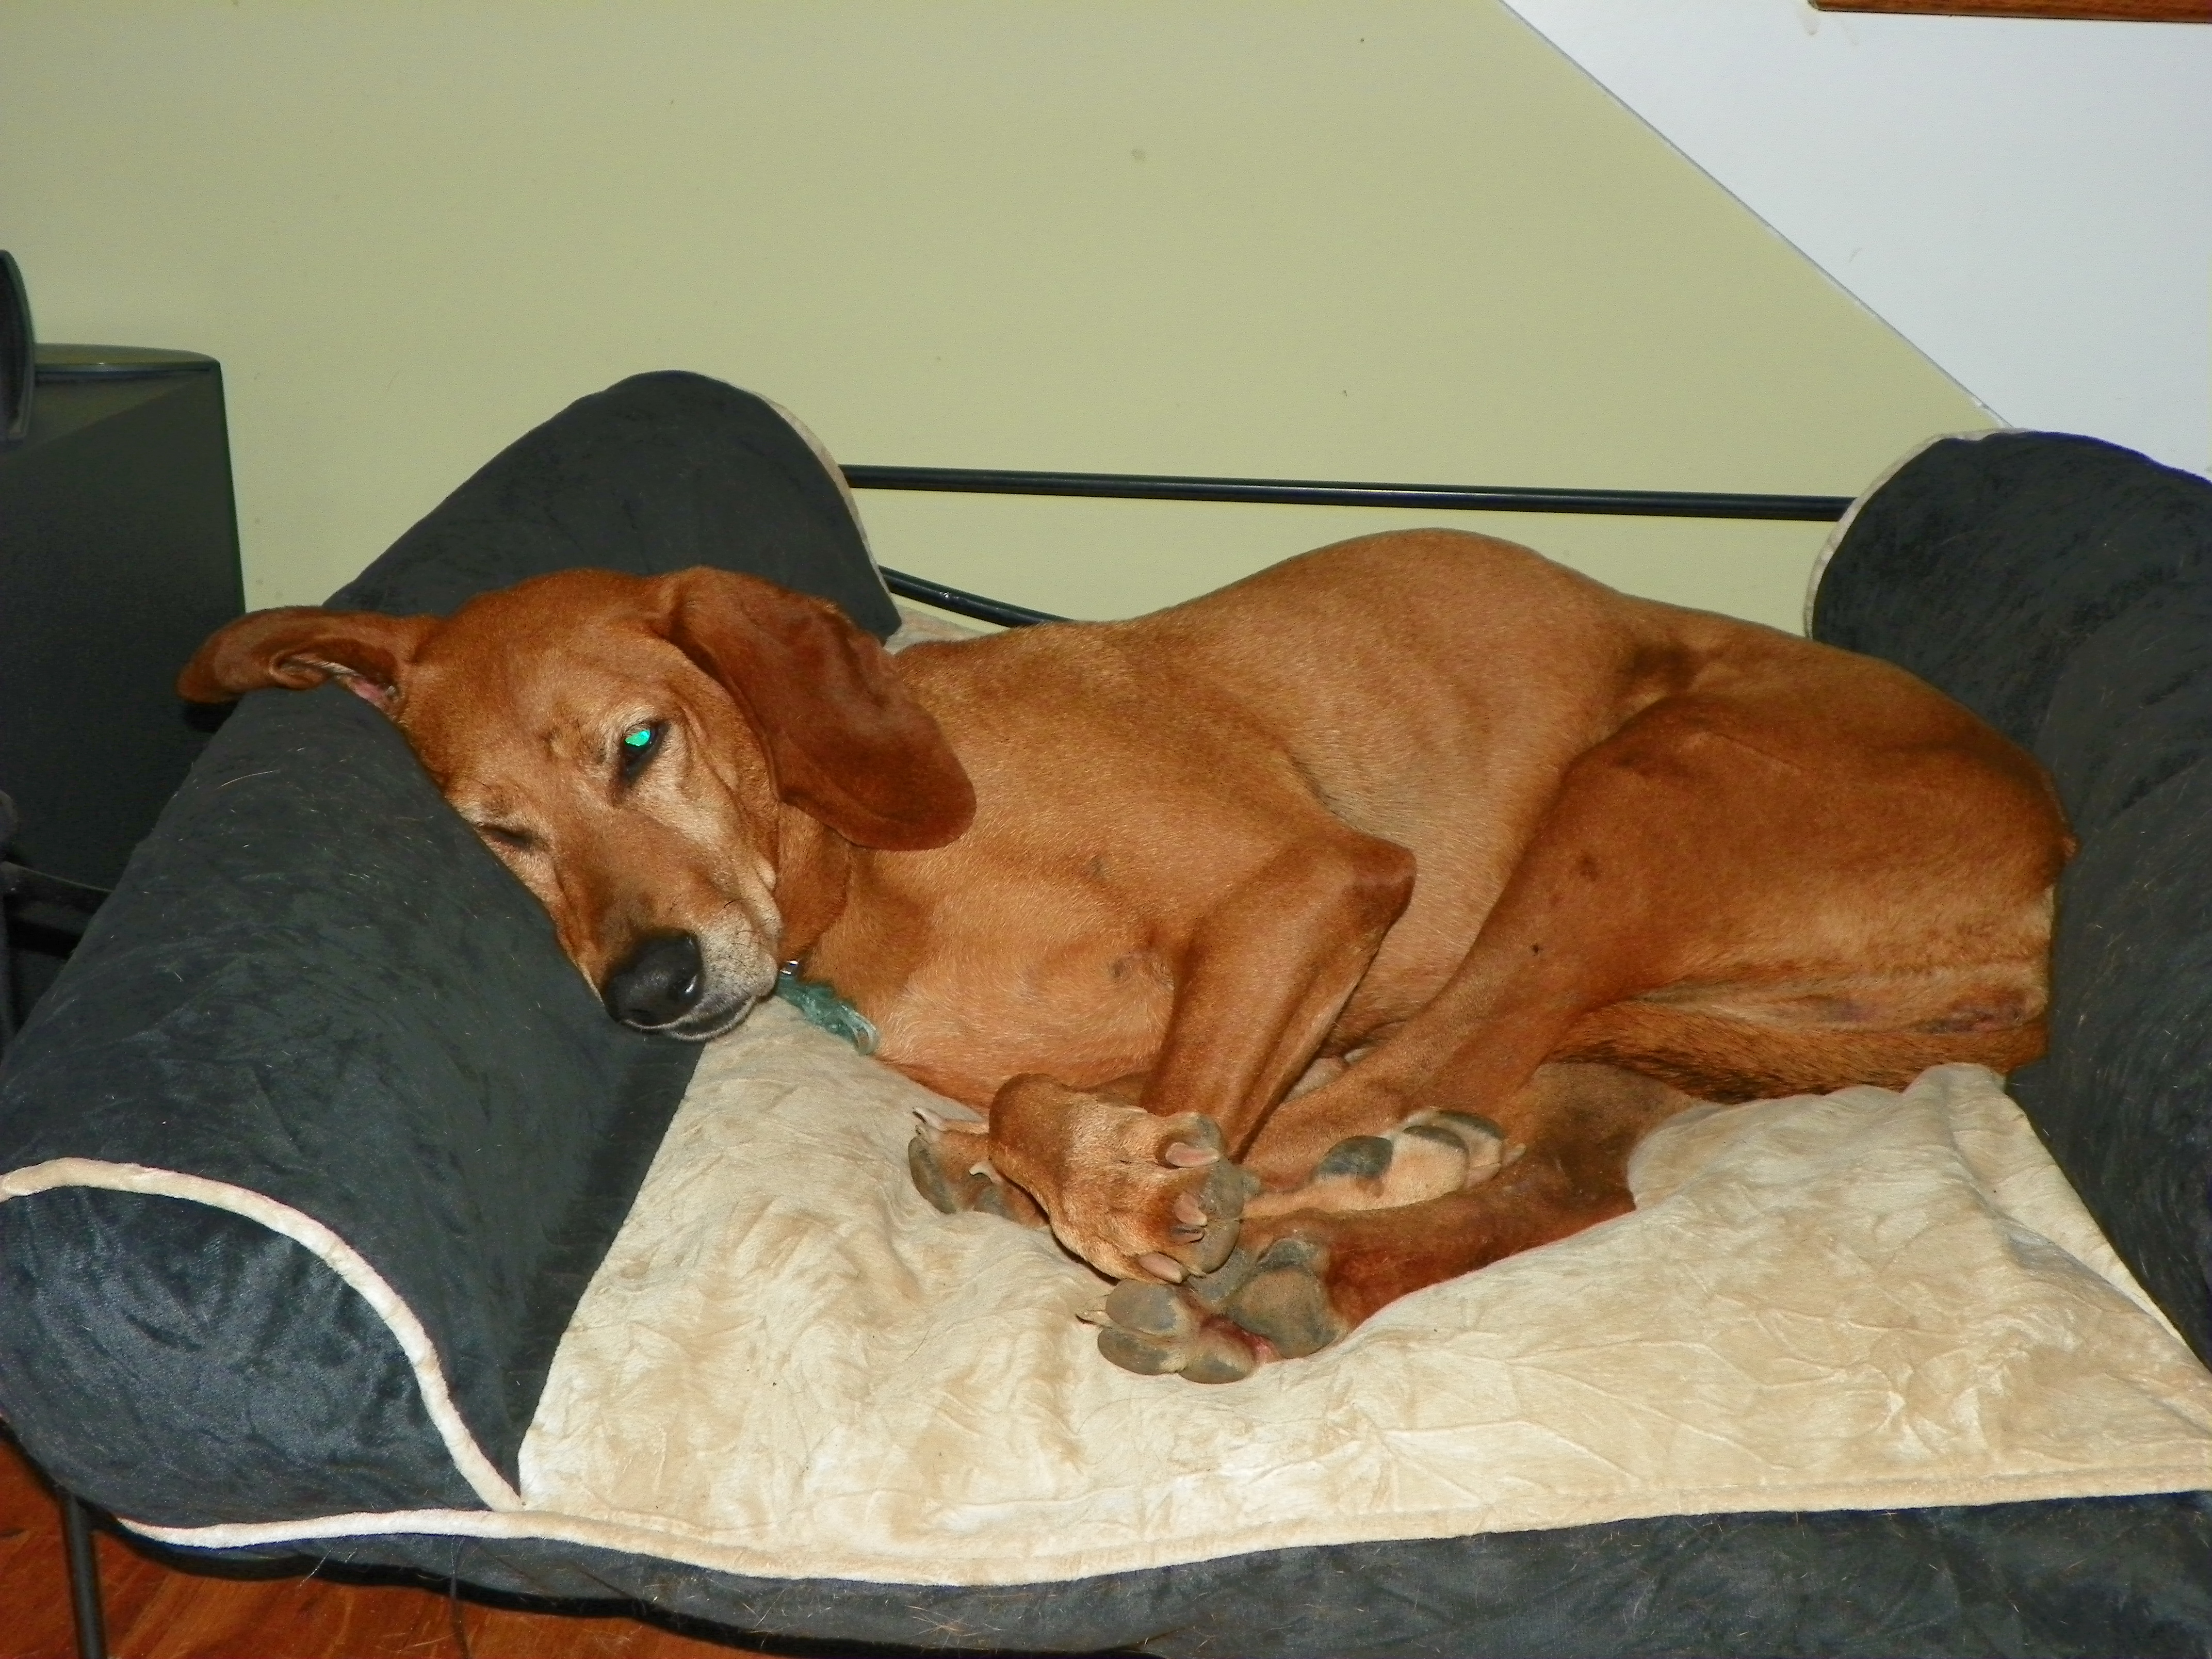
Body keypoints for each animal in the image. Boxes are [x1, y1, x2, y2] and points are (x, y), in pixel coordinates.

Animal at [181, 530, 2072, 1383]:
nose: (641, 989)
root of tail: (2052, 872)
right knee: (1544, 1171)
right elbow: (1056, 1094)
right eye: (500, 835)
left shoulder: (1313, 884)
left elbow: (1119, 1109)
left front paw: (1134, 1191)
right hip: (1626, 1020)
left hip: (1632, 797)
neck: (874, 865)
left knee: (1410, 1081)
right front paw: (1095, 1174)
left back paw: (1278, 1214)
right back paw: (1289, 1273)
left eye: (637, 746)